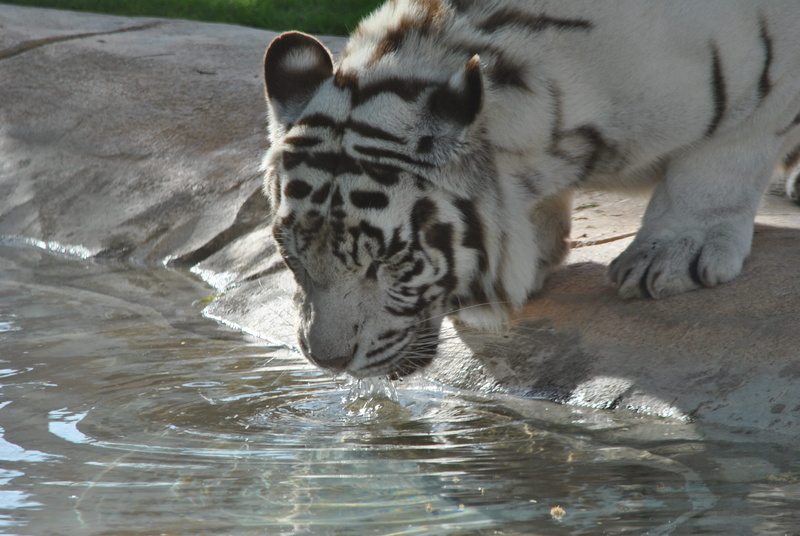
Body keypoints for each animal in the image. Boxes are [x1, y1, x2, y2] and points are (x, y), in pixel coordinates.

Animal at [261, 0, 800, 379]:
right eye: (291, 257)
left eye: (388, 262)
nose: (327, 361)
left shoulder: (768, 79)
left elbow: (720, 162)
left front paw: (670, 258)